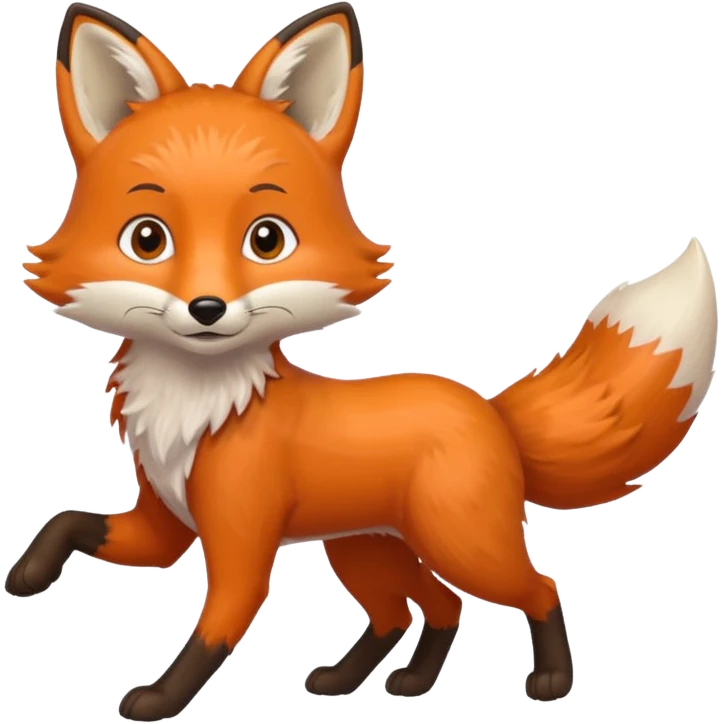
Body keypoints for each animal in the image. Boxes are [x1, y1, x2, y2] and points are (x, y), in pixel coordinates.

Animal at [10, 1, 719, 719]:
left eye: (267, 239)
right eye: (147, 239)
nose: (207, 309)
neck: (198, 404)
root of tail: (489, 411)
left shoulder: (240, 539)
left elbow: (213, 633)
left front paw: (158, 699)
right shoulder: (162, 525)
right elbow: (69, 522)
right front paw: (28, 573)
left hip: (457, 543)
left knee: (532, 589)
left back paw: (548, 681)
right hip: (366, 549)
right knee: (420, 610)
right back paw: (384, 682)